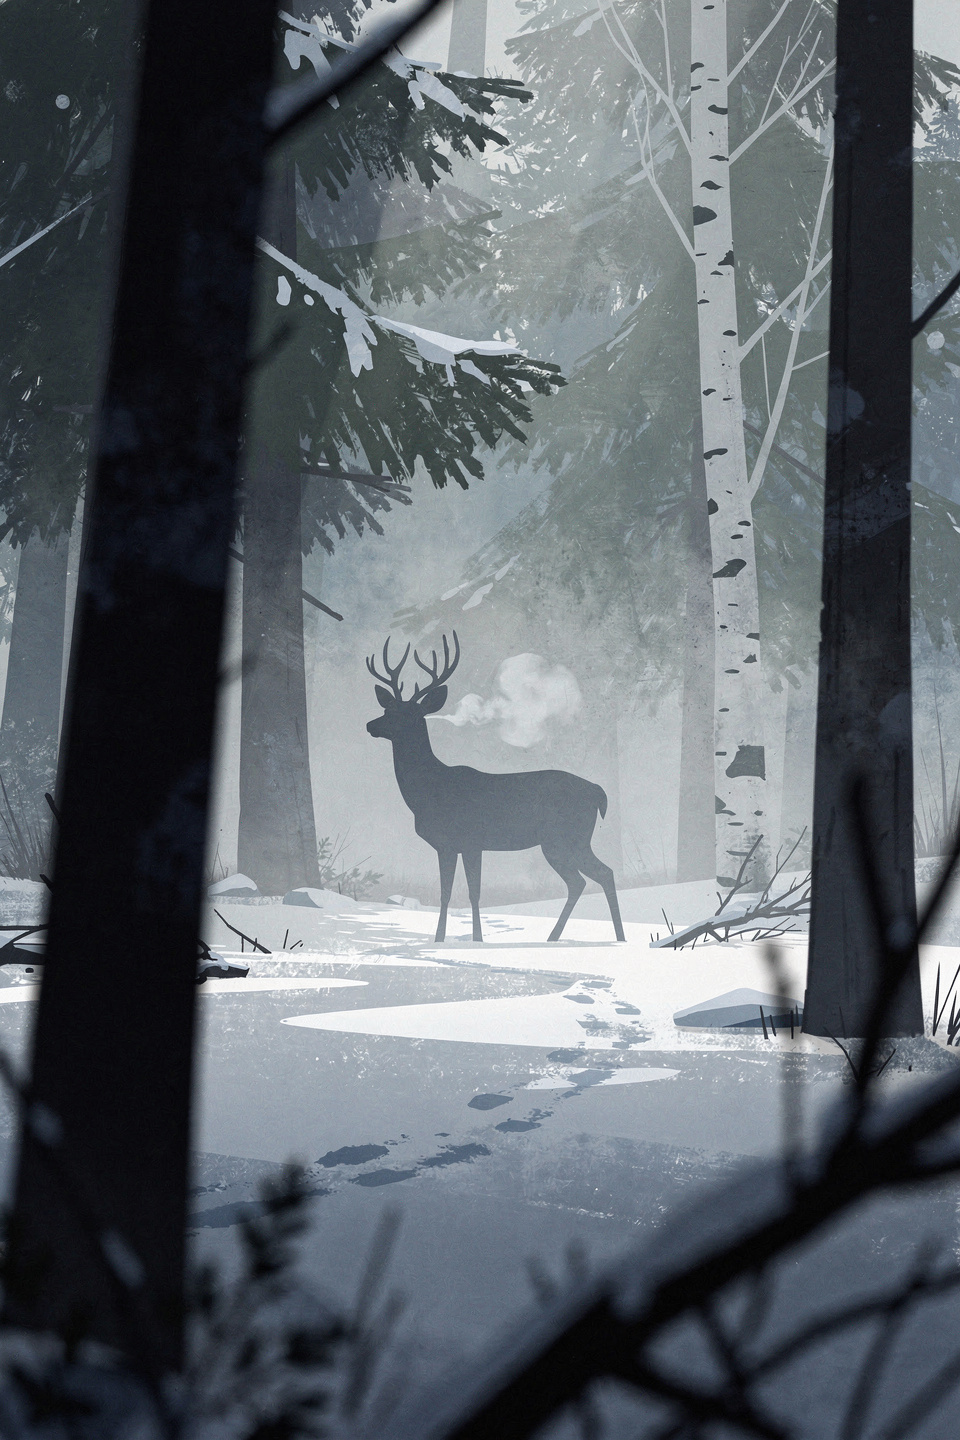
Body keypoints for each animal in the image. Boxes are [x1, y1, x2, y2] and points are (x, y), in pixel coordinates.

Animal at [366, 632, 625, 945]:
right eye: (387, 708)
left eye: (408, 714)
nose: (370, 725)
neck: (429, 791)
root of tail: (598, 791)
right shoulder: (449, 844)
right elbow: (447, 893)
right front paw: (443, 940)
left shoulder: (469, 840)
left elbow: (471, 893)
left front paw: (474, 941)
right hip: (565, 841)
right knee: (589, 878)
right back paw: (578, 937)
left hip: (566, 838)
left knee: (595, 875)